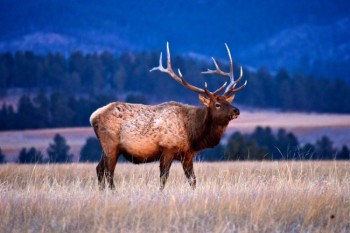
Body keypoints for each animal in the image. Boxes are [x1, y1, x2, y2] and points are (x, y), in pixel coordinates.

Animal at [91, 42, 247, 190]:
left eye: (228, 101)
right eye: (217, 104)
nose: (236, 111)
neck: (193, 134)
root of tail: (93, 116)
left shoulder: (188, 155)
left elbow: (193, 180)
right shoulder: (168, 148)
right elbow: (163, 178)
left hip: (107, 148)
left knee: (99, 168)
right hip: (110, 144)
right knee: (108, 172)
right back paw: (113, 192)